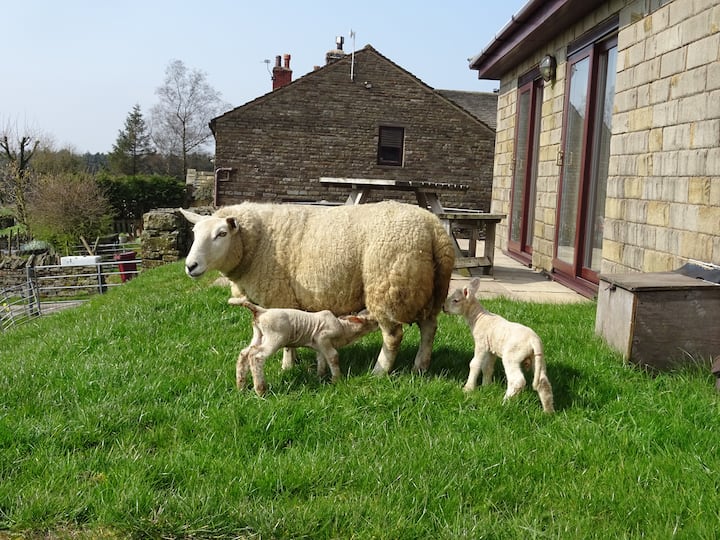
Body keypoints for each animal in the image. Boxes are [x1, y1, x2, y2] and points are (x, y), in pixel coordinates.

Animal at [180, 200, 455, 377]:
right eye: (194, 232)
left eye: (222, 233)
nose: (190, 266)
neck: (255, 244)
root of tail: (434, 228)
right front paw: (296, 361)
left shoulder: (281, 297)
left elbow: (286, 341)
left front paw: (287, 366)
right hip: (430, 290)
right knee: (429, 328)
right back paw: (421, 366)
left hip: (387, 285)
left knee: (393, 335)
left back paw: (379, 372)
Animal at [228, 296, 378, 395]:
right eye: (373, 319)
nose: (380, 322)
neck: (345, 328)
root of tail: (261, 311)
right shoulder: (322, 337)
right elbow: (333, 356)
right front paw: (336, 379)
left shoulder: (319, 346)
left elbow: (321, 360)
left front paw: (320, 376)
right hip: (275, 337)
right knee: (256, 356)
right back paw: (261, 390)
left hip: (259, 335)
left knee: (245, 353)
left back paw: (241, 386)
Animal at [444, 278, 554, 413]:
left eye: (456, 300)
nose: (443, 307)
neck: (478, 317)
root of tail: (534, 340)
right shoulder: (491, 349)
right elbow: (487, 367)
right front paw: (486, 386)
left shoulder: (481, 343)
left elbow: (475, 364)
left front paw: (468, 389)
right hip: (538, 357)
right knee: (543, 382)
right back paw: (548, 412)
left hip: (512, 355)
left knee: (517, 380)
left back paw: (505, 402)